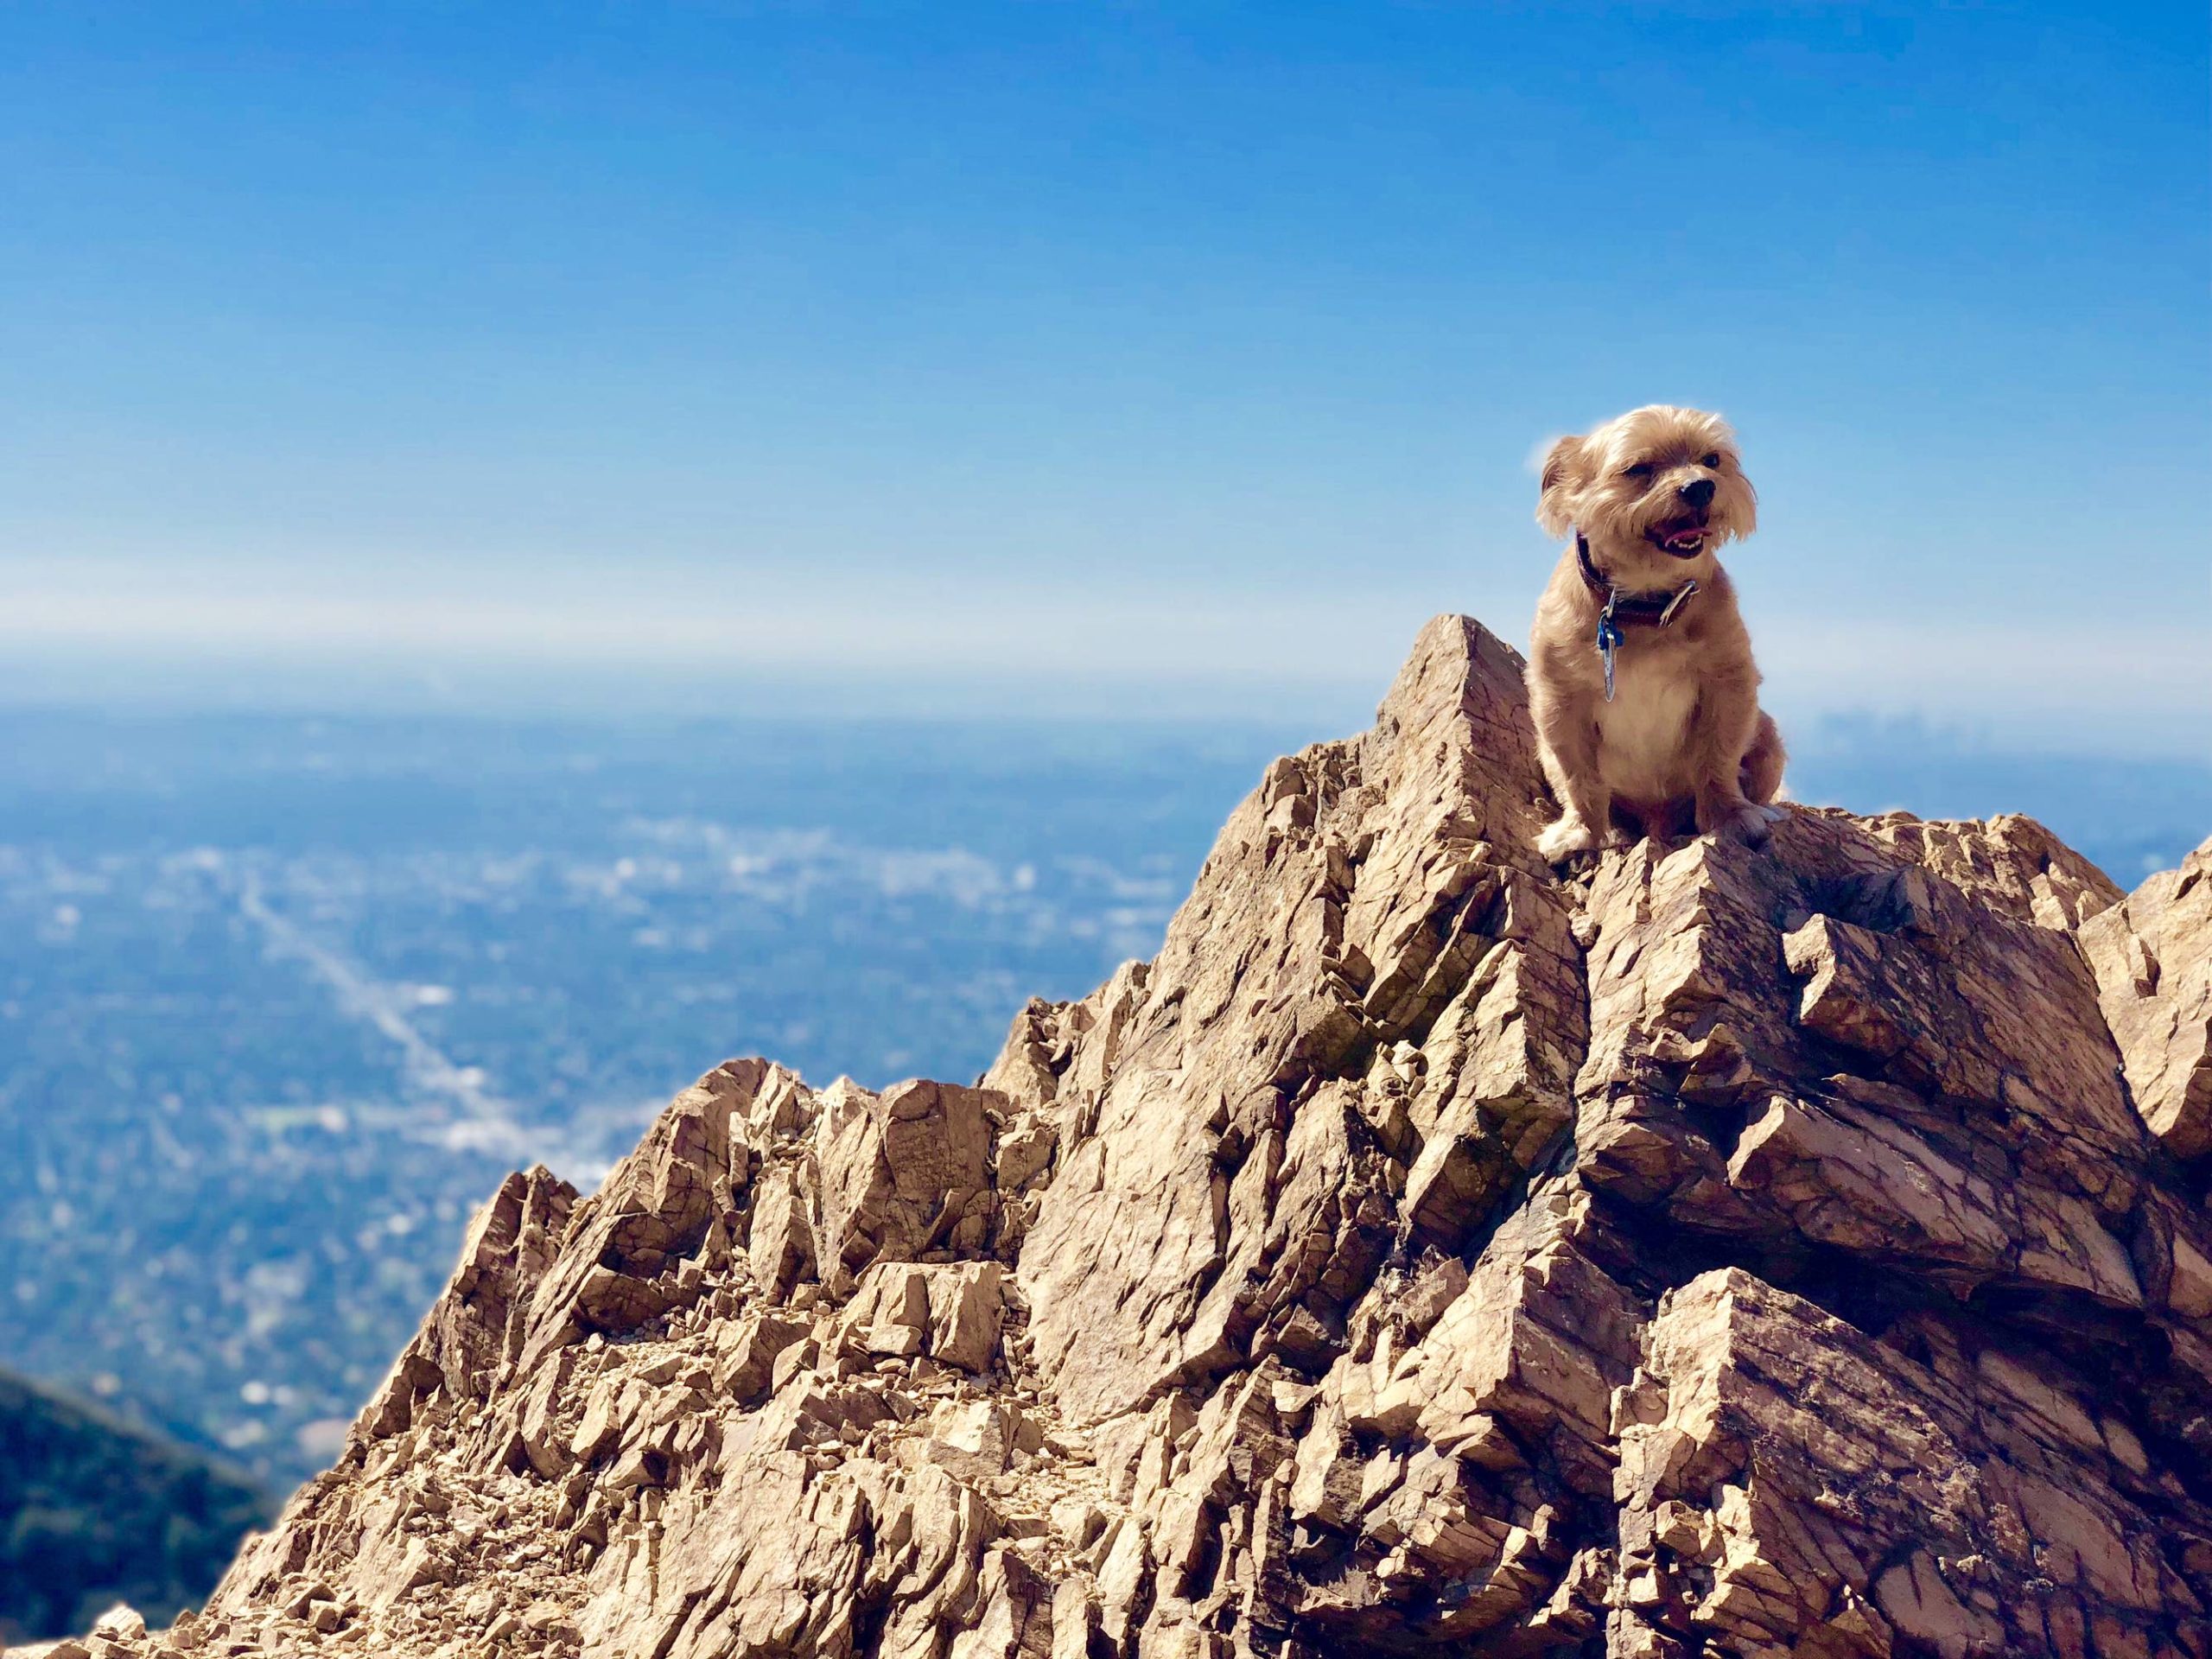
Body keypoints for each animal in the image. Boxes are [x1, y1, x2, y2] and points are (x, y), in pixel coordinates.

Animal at [1530, 407, 1787, 862]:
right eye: (1639, 468)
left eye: (1712, 460)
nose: (1701, 486)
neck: (1646, 606)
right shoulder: (1560, 700)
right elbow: (1578, 775)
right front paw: (1581, 831)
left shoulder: (1729, 684)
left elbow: (1719, 757)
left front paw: (1730, 816)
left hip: (1768, 735)